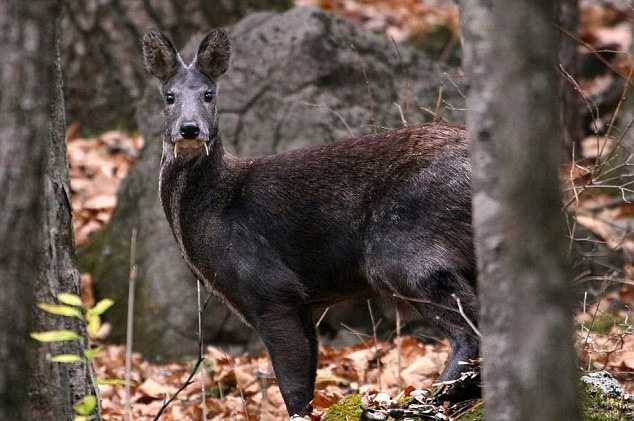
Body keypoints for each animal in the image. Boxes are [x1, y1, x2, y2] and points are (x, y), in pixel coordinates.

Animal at [143, 29, 476, 416]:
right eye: (169, 96)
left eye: (209, 94)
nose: (190, 129)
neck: (217, 207)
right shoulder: (297, 300)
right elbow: (306, 376)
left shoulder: (270, 286)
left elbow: (293, 385)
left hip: (403, 245)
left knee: (469, 328)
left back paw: (429, 398)